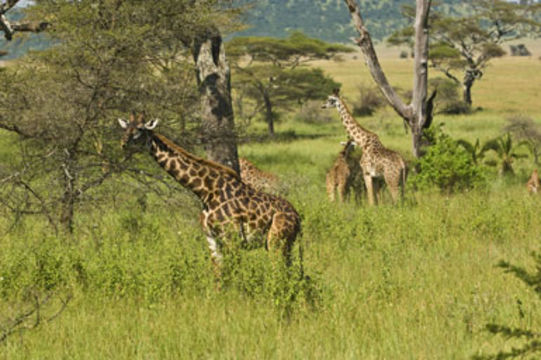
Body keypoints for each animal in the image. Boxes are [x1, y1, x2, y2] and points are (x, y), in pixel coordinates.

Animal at [117, 112, 300, 270]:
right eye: (125, 128)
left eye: (140, 129)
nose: (123, 143)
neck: (205, 191)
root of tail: (298, 217)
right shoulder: (212, 239)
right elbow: (219, 278)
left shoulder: (231, 238)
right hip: (283, 244)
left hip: (276, 241)